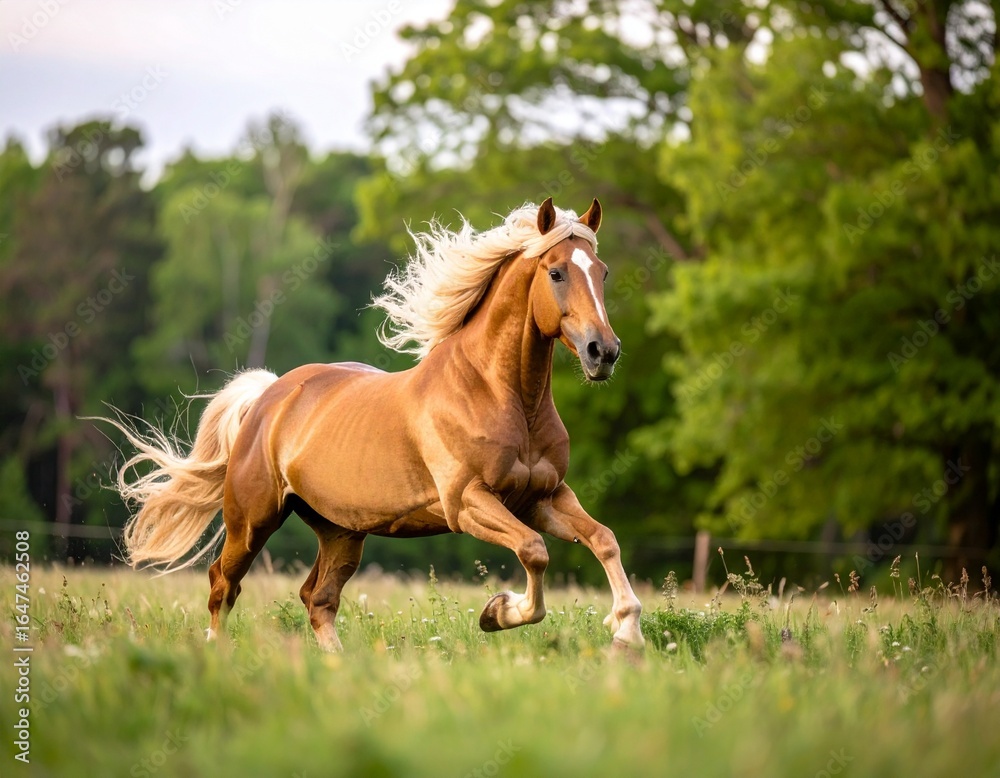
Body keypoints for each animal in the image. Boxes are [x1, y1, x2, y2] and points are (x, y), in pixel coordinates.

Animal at [105, 197, 645, 652]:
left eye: (602, 272)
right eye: (555, 272)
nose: (604, 352)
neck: (502, 396)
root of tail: (269, 396)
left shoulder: (543, 497)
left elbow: (604, 539)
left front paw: (627, 631)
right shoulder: (468, 502)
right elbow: (535, 552)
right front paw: (498, 612)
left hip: (341, 531)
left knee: (317, 598)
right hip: (252, 520)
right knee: (224, 582)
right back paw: (218, 654)